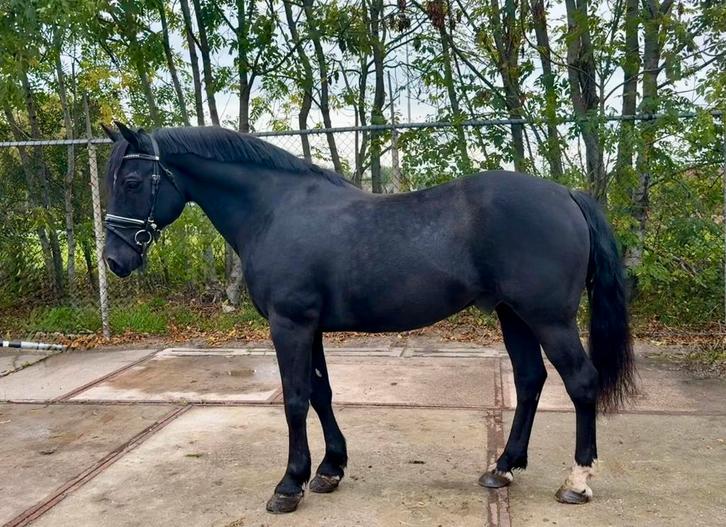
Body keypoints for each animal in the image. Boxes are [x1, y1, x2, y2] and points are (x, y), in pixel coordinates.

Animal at [101, 122, 637, 514]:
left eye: (131, 182)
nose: (114, 260)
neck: (275, 211)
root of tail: (566, 195)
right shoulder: (310, 327)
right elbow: (320, 394)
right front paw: (329, 470)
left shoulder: (289, 324)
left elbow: (294, 400)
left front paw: (289, 485)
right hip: (514, 316)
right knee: (529, 380)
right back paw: (502, 467)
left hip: (549, 319)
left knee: (580, 381)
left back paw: (577, 481)